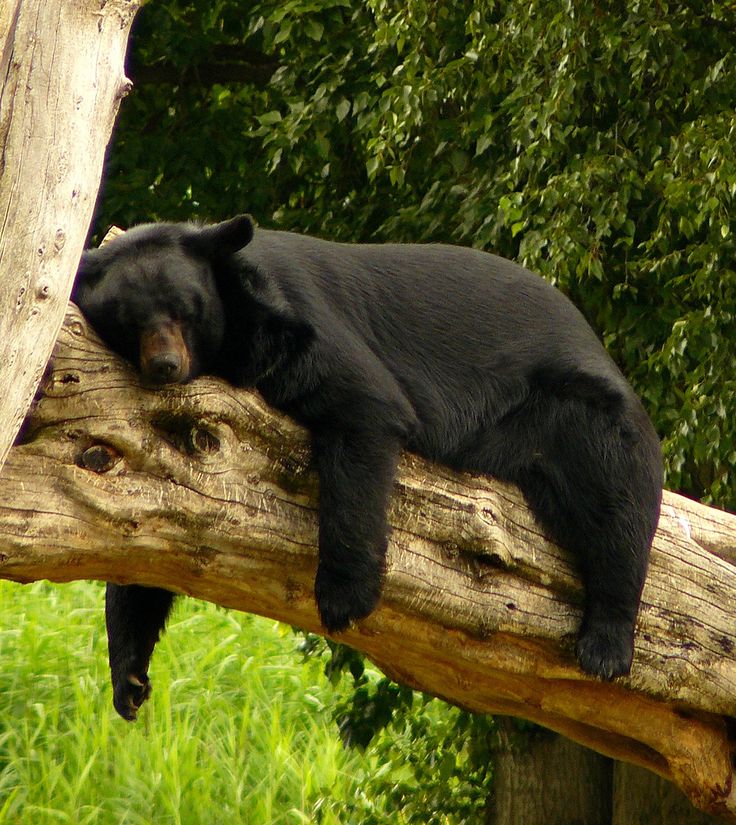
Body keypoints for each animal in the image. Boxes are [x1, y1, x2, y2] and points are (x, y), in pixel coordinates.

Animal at [72, 216, 664, 716]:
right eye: (129, 321)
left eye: (185, 311)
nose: (165, 366)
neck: (235, 334)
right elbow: (149, 528)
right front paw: (129, 679)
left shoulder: (302, 326)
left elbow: (364, 408)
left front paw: (343, 599)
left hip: (580, 411)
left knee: (616, 497)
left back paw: (605, 644)